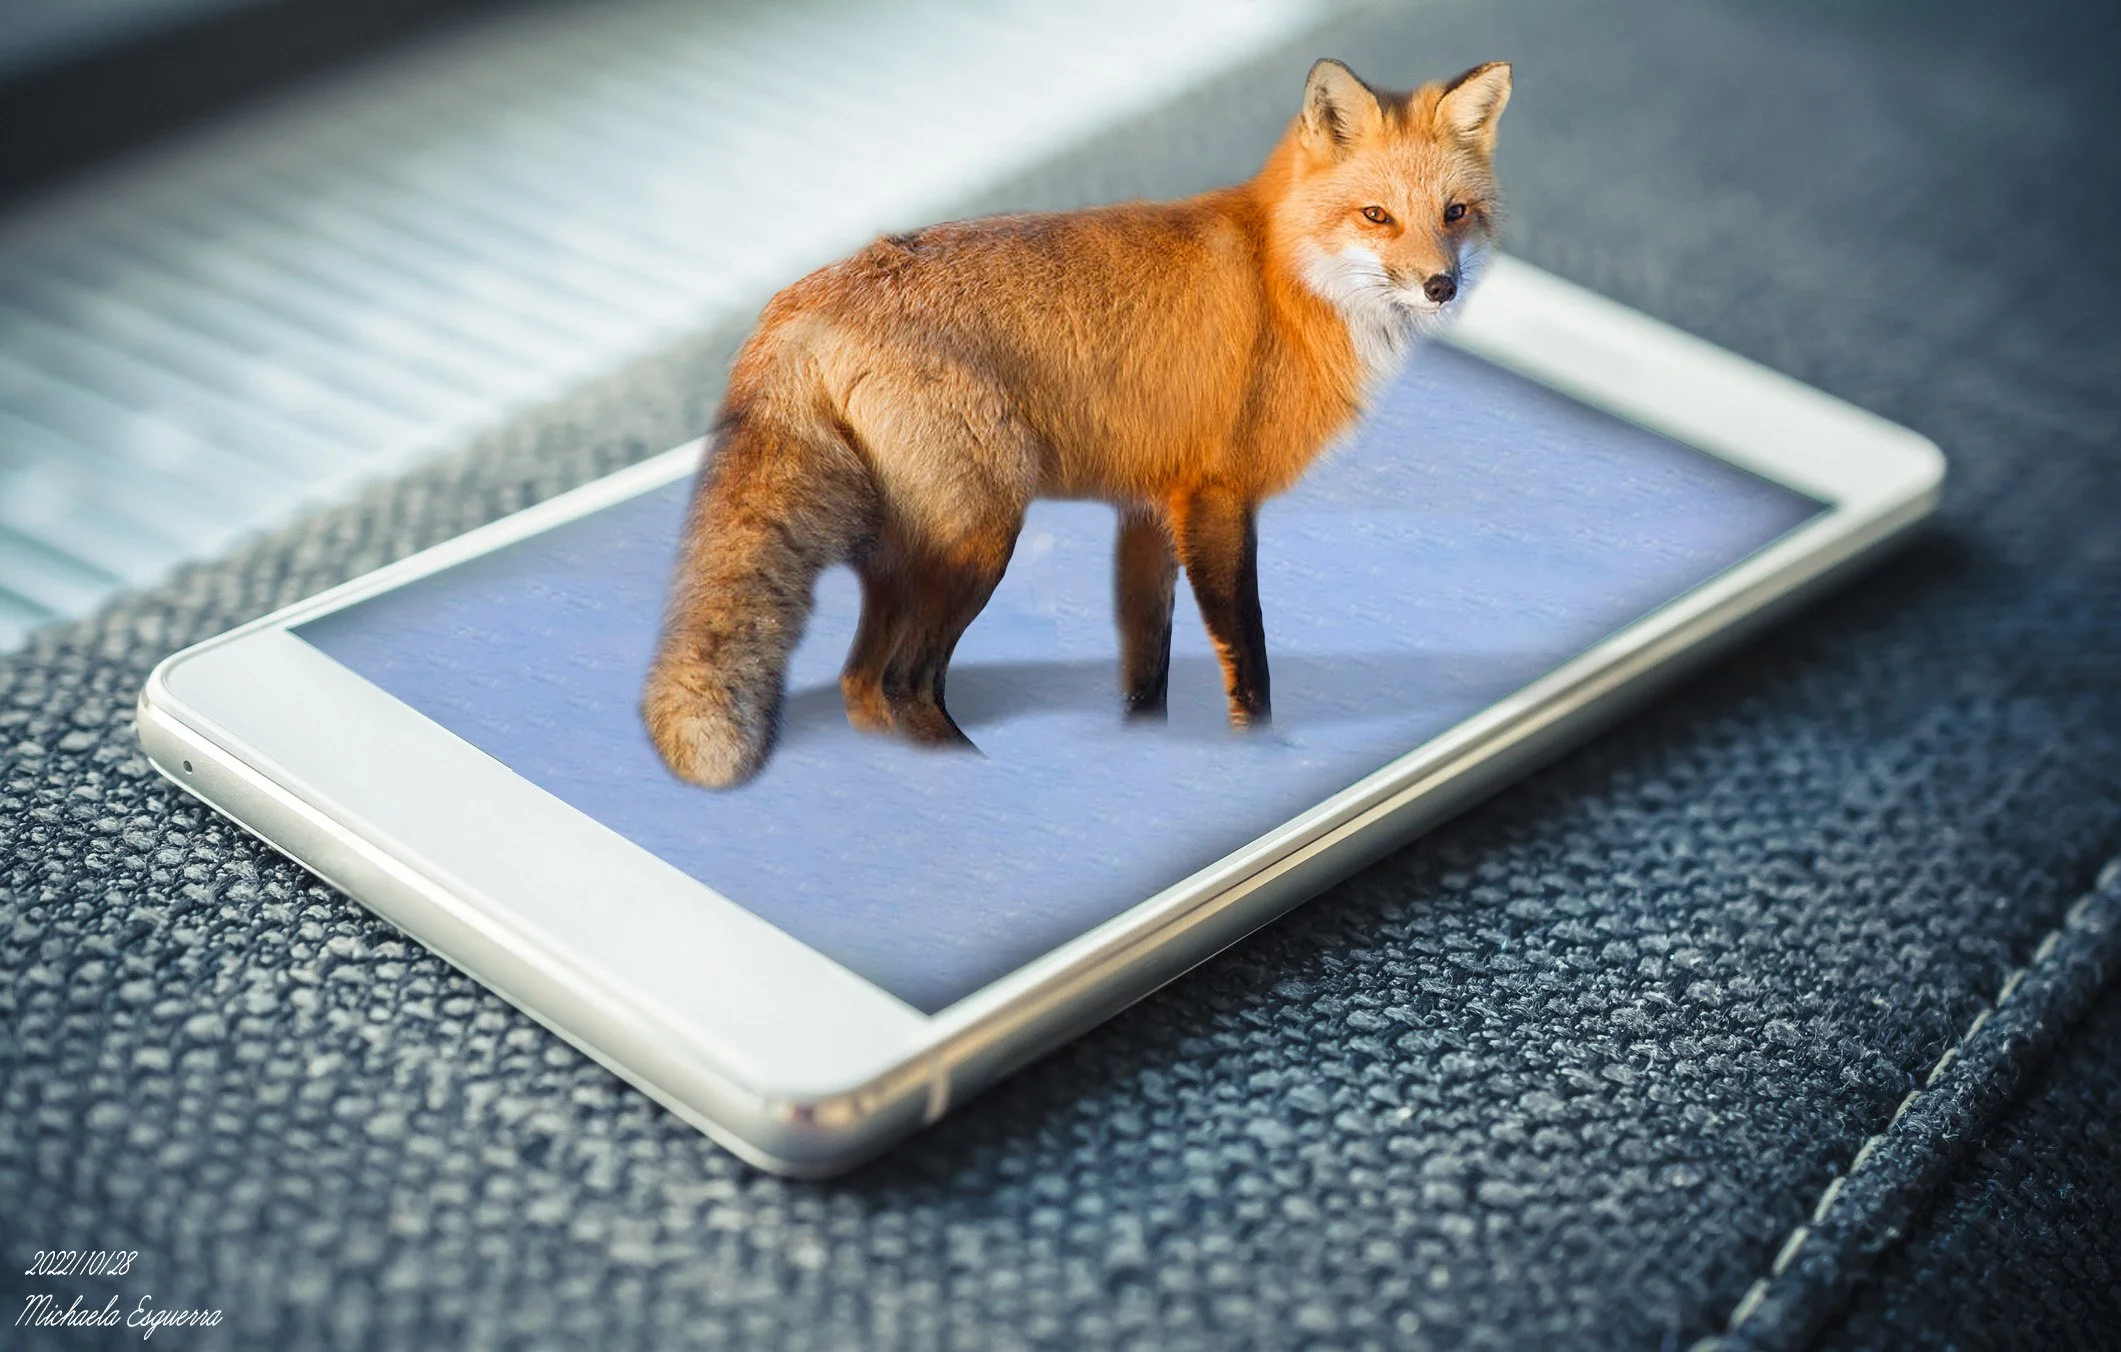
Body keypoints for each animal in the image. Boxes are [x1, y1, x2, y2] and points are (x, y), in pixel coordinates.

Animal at [644, 57, 1512, 788]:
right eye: (1375, 216)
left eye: (1454, 213)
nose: (1440, 286)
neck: (1285, 282)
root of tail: (803, 298)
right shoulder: (1217, 501)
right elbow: (1249, 653)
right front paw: (1256, 752)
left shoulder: (1150, 510)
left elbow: (1144, 663)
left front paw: (1144, 748)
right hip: (978, 539)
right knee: (901, 681)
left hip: (907, 549)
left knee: (861, 681)